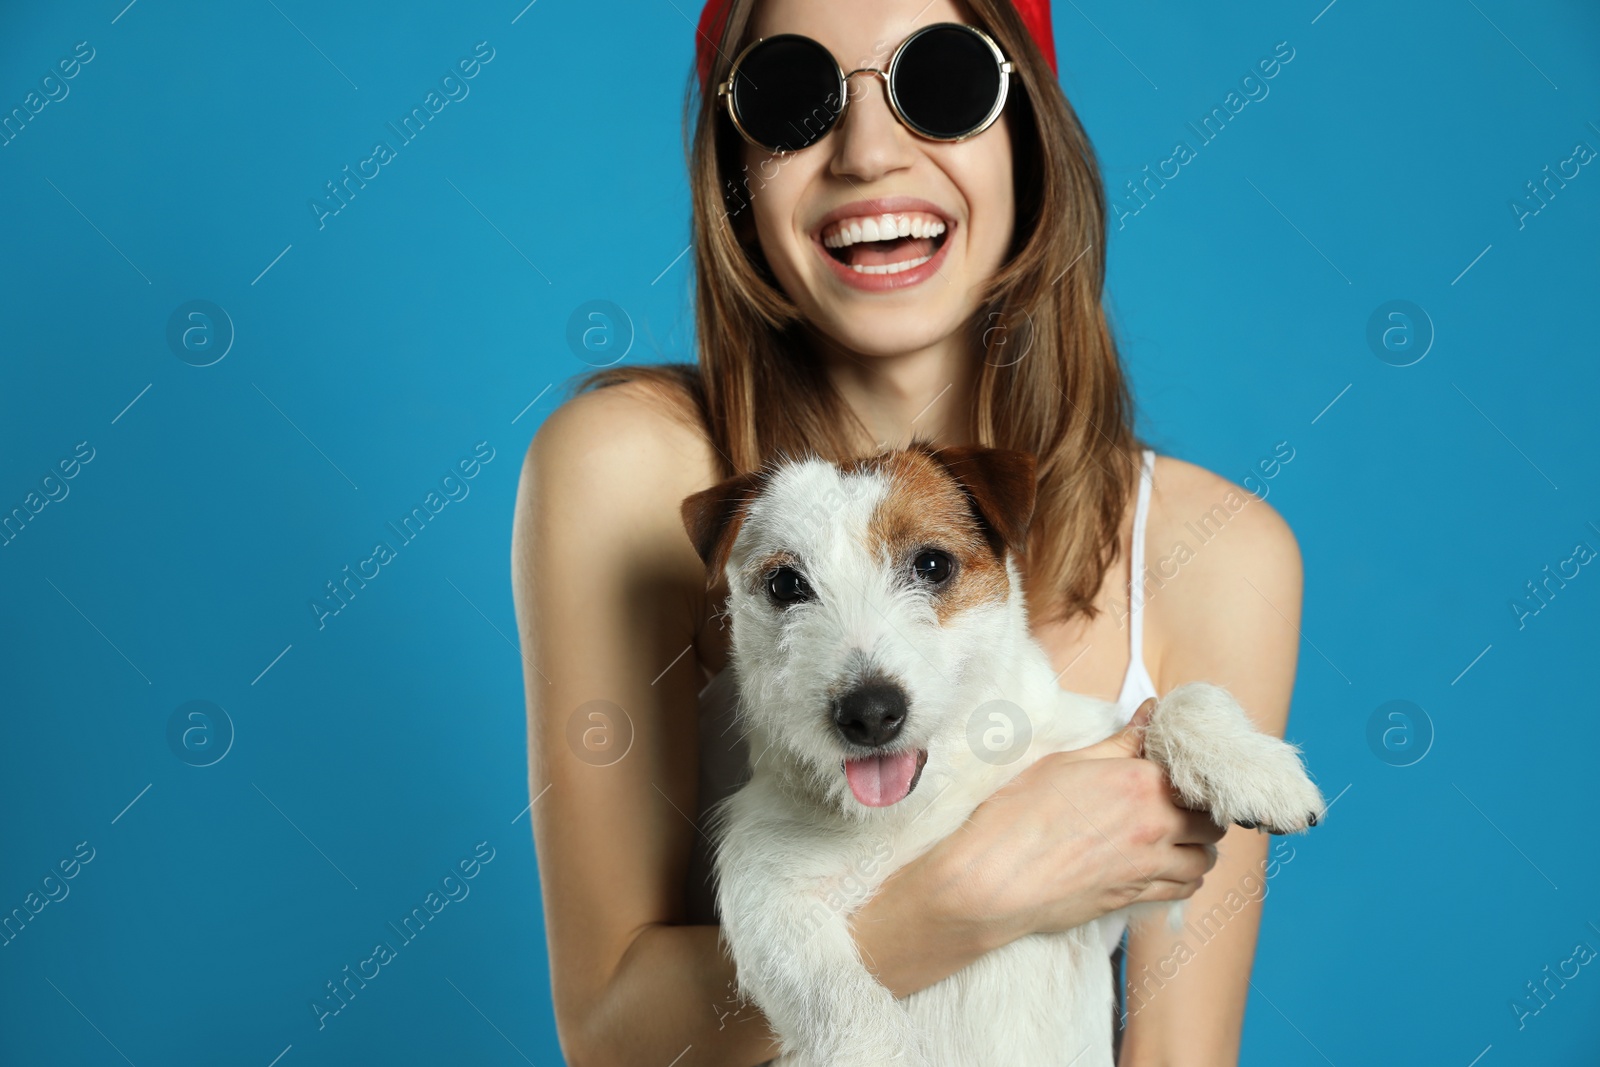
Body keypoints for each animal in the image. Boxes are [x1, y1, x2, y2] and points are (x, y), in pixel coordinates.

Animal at [678, 444, 1324, 1067]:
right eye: (786, 585)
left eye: (932, 565)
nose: (869, 713)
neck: (932, 795)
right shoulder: (767, 889)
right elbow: (837, 996)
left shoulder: (1140, 887)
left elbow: (1183, 697)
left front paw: (1253, 767)